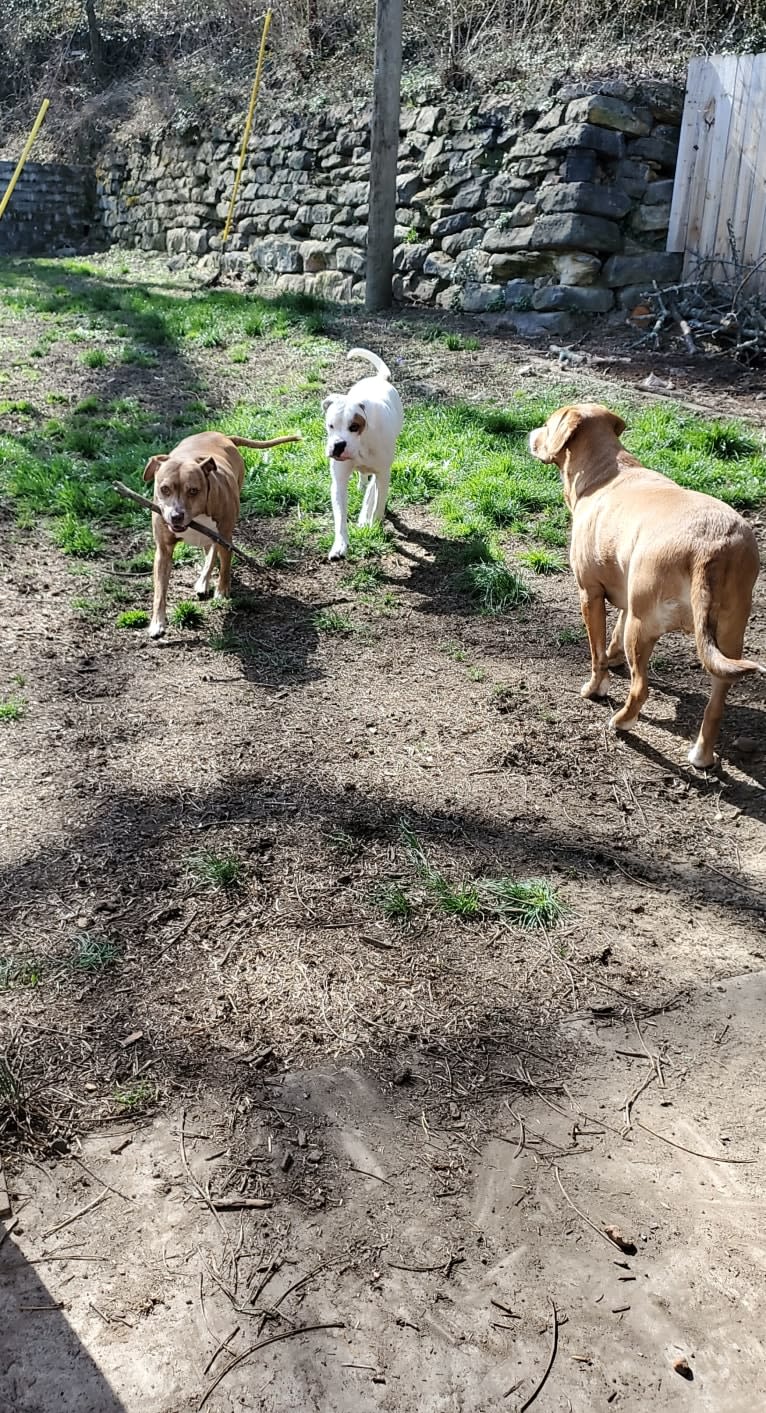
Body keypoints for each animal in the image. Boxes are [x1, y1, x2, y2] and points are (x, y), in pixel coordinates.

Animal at [144, 423, 299, 635]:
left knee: (213, 553)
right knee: (209, 553)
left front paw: (222, 591)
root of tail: (225, 436)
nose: (176, 516)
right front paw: (157, 623)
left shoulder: (224, 537)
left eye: (193, 490)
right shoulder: (163, 550)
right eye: (164, 489)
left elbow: (225, 565)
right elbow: (160, 589)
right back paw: (203, 581)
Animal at [322, 346, 404, 556]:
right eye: (330, 425)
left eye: (354, 426)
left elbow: (378, 504)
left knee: (372, 490)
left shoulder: (383, 474)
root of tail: (379, 379)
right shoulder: (339, 482)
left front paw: (372, 523)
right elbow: (340, 517)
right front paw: (340, 544)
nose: (338, 445)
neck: (362, 444)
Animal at [531, 404, 763, 768]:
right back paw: (701, 755)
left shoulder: (590, 594)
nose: (530, 433)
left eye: (548, 423)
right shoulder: (626, 599)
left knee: (641, 687)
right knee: (716, 703)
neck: (605, 471)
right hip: (728, 637)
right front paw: (613, 659)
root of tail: (710, 548)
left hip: (642, 629)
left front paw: (595, 687)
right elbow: (611, 638)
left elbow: (596, 652)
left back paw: (621, 721)